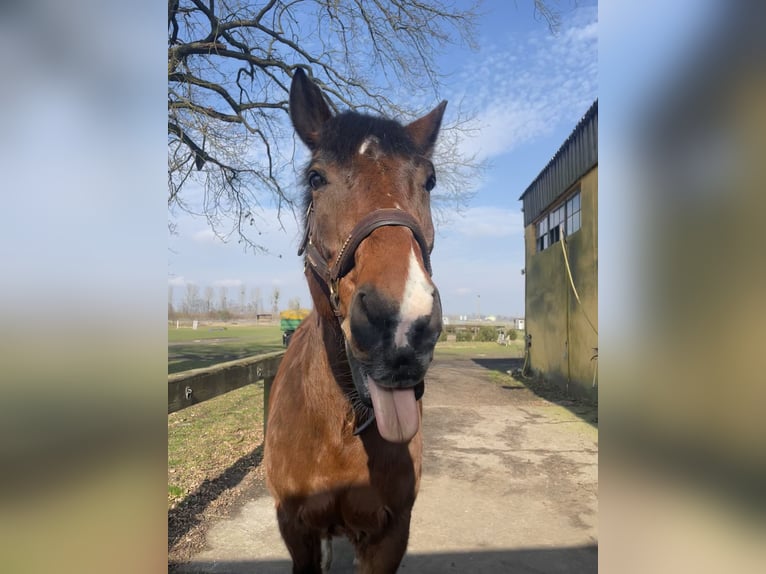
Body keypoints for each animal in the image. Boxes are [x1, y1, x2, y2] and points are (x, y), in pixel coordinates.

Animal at [264, 70, 448, 572]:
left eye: (429, 181)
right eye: (316, 177)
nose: (402, 324)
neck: (345, 422)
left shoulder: (390, 534)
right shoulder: (297, 530)